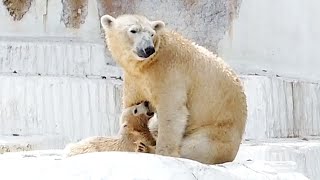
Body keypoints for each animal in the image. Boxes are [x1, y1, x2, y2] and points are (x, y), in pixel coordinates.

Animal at [100, 13, 248, 163]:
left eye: (152, 34)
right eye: (133, 30)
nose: (149, 49)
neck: (147, 65)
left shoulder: (169, 72)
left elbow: (171, 110)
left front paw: (161, 151)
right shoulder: (134, 79)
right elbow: (132, 105)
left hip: (218, 131)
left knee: (196, 147)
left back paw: (147, 148)